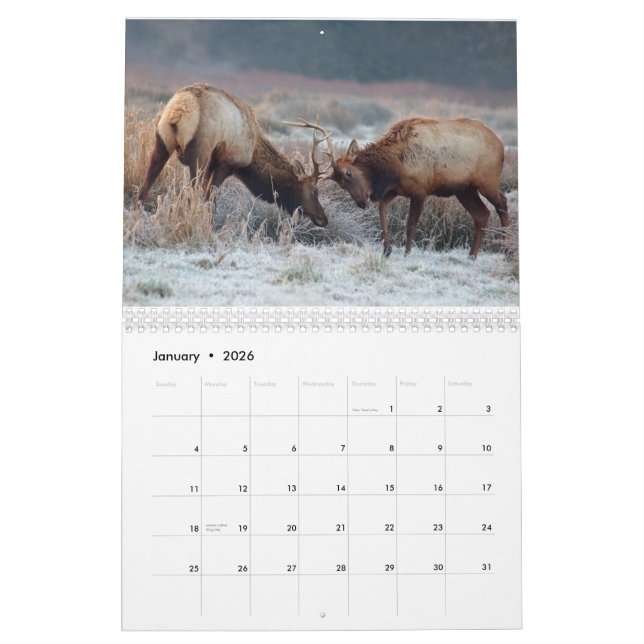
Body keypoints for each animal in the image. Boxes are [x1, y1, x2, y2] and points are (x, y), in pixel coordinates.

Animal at [136, 83, 329, 227]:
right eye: (314, 190)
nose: (323, 218)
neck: (253, 151)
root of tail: (178, 109)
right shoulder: (226, 163)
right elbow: (210, 199)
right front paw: (208, 225)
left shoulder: (213, 164)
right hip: (199, 151)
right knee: (191, 191)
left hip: (162, 140)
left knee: (146, 183)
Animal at [300, 117, 509, 258]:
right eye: (340, 184)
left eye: (349, 173)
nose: (361, 202)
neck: (394, 168)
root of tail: (500, 144)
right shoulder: (395, 190)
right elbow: (382, 209)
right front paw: (387, 249)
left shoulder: (420, 190)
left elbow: (410, 224)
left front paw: (407, 253)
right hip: (464, 189)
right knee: (482, 214)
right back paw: (472, 256)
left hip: (488, 181)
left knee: (502, 203)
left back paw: (507, 250)